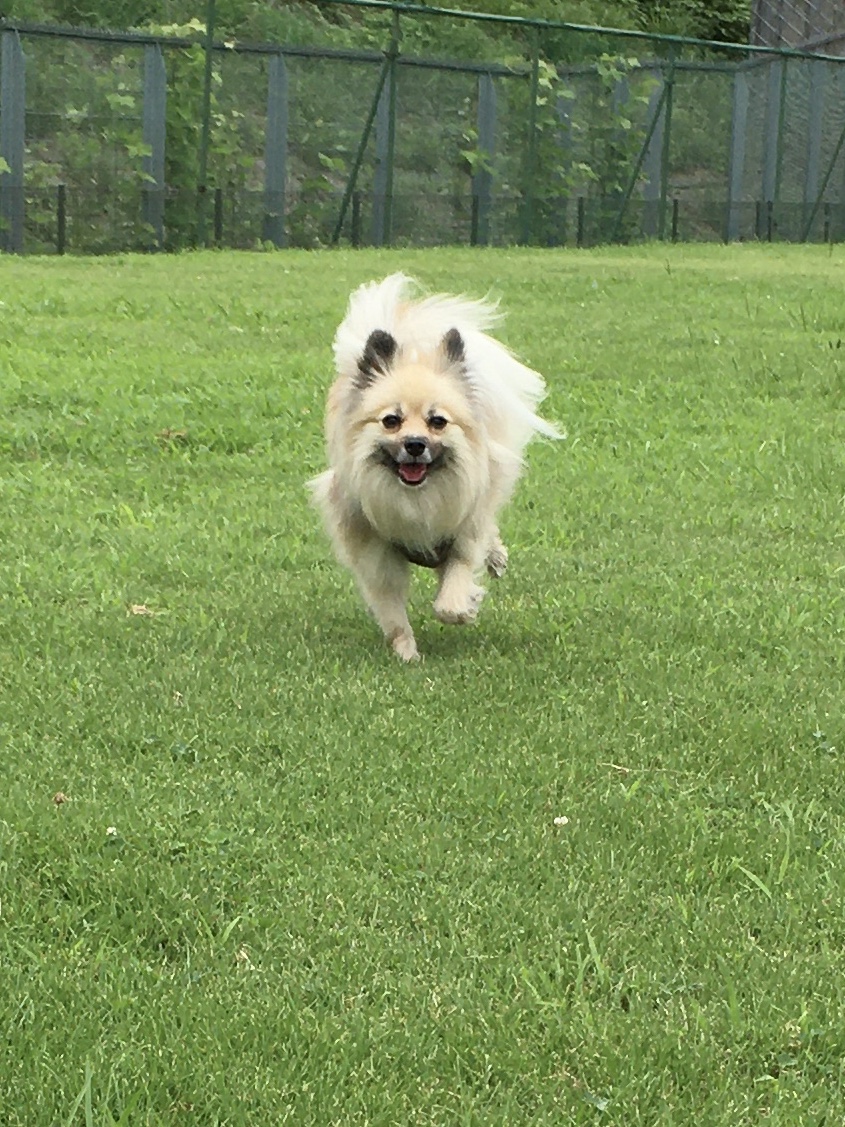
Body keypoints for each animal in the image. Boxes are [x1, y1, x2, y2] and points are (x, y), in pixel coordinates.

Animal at [310, 273, 560, 661]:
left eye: (437, 422)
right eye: (391, 421)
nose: (415, 444)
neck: (416, 498)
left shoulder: (464, 531)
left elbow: (452, 591)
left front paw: (463, 607)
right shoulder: (376, 555)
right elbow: (392, 612)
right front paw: (407, 653)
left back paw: (496, 558)